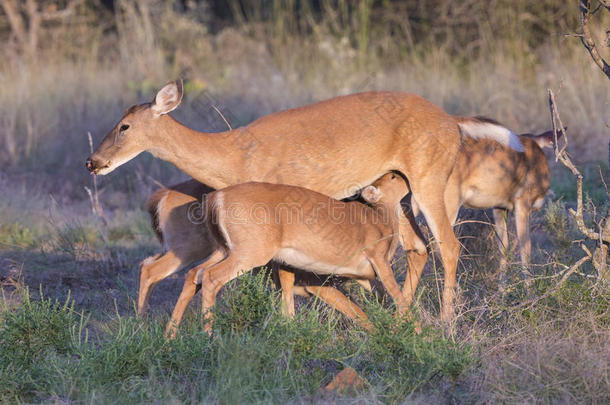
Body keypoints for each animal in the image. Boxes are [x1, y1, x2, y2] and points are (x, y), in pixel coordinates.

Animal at [140, 178, 366, 326]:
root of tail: (163, 194)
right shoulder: (318, 286)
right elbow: (361, 316)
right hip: (191, 251)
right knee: (156, 271)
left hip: (210, 252)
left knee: (166, 268)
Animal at [164, 171, 406, 334]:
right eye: (393, 177)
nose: (403, 174)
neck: (379, 219)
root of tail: (216, 198)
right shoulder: (377, 263)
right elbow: (397, 298)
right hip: (248, 255)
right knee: (211, 277)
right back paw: (208, 337)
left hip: (224, 250)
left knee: (194, 273)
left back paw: (170, 338)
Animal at [400, 126, 560, 304]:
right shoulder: (522, 204)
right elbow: (525, 248)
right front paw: (530, 295)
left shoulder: (499, 208)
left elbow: (503, 248)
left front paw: (501, 295)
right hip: (446, 203)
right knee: (439, 245)